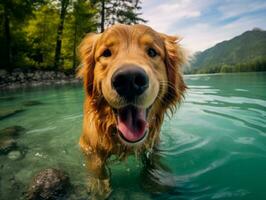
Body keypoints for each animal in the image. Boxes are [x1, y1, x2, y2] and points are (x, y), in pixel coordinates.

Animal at [78, 23, 187, 198]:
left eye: (152, 52)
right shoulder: (89, 147)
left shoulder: (153, 143)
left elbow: (153, 160)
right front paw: (98, 187)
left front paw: (156, 179)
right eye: (106, 53)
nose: (129, 80)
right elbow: (97, 167)